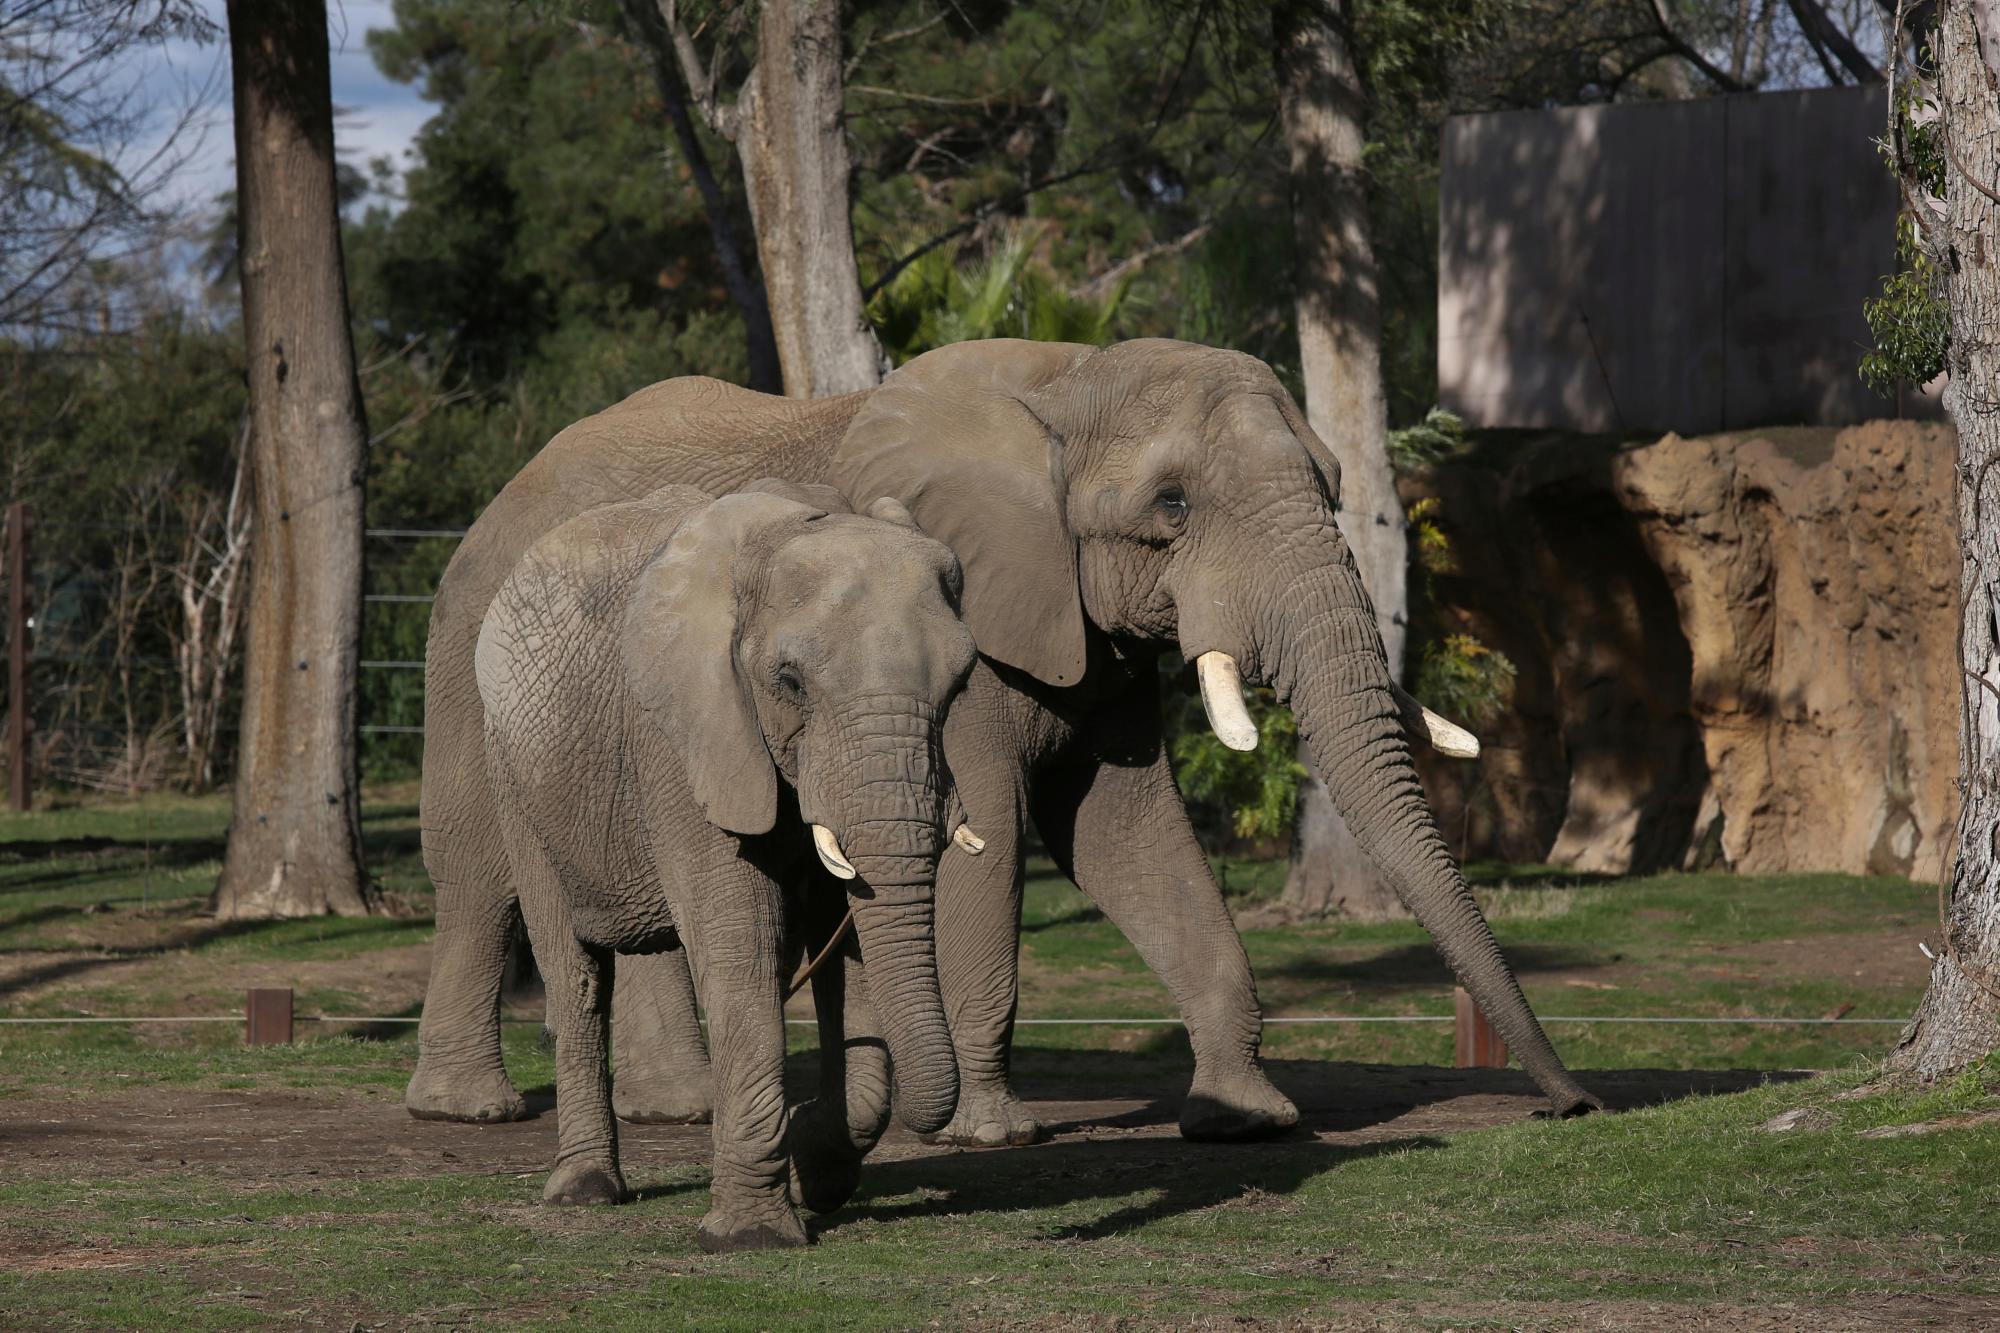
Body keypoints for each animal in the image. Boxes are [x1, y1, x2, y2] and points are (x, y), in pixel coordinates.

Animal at [402, 334, 1592, 1144]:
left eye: (1336, 487)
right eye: (1171, 505)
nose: (1568, 1104)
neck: (1063, 386)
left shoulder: (1090, 639)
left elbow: (1132, 835)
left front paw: (1245, 1116)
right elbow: (985, 837)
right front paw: (989, 1131)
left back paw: (678, 1110)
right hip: (468, 661)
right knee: (478, 874)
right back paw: (472, 1112)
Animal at [484, 480, 984, 1248]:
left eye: (960, 684)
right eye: (790, 681)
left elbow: (846, 953)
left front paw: (815, 1165)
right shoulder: (683, 734)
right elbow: (737, 940)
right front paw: (753, 1236)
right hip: (516, 778)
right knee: (575, 975)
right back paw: (585, 1192)